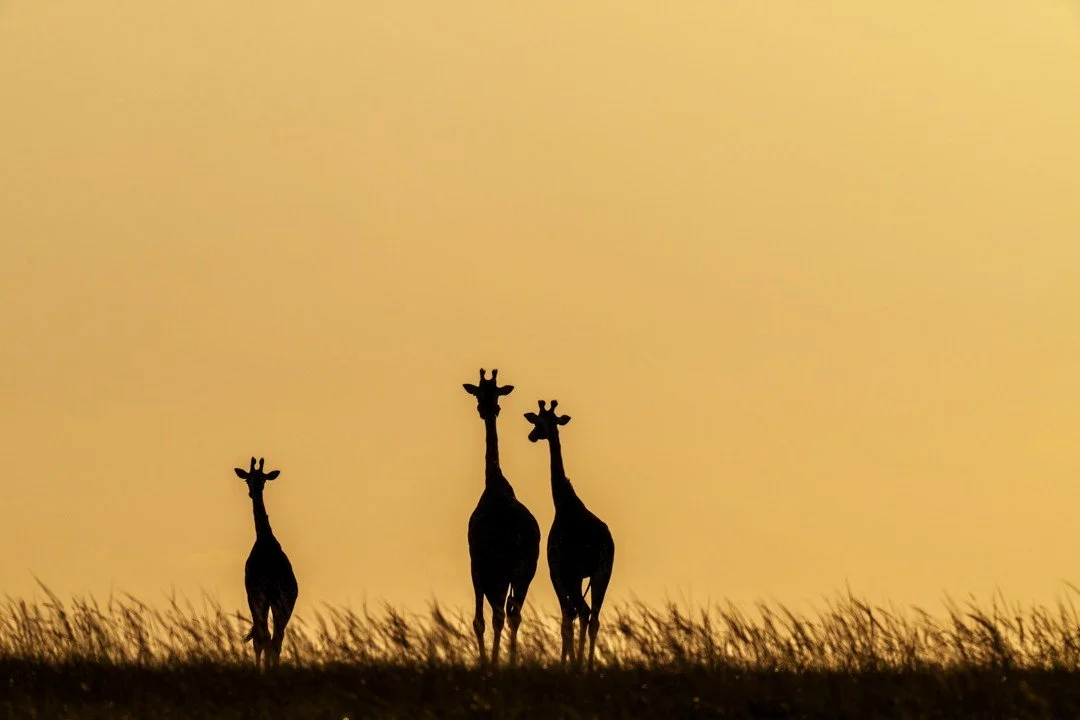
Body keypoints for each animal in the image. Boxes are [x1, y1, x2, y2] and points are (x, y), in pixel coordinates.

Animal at [233, 456, 299, 670]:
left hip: (263, 597)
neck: (265, 541)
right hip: (284, 600)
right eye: (248, 479)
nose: (252, 492)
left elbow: (259, 638)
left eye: (262, 479)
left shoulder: (252, 593)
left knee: (265, 637)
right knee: (276, 638)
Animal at [463, 368, 541, 667]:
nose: (487, 409)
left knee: (497, 614)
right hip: (525, 569)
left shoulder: (476, 566)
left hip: (497, 568)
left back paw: (497, 662)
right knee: (514, 614)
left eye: (495, 393)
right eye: (480, 393)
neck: (495, 484)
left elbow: (480, 620)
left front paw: (488, 662)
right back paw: (511, 660)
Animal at [524, 399, 615, 672]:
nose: (532, 436)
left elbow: (566, 619)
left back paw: (579, 666)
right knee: (593, 616)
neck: (564, 503)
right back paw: (589, 667)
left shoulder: (556, 572)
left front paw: (566, 663)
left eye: (537, 423)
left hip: (575, 575)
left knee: (582, 612)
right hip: (602, 573)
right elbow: (571, 617)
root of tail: (597, 542)